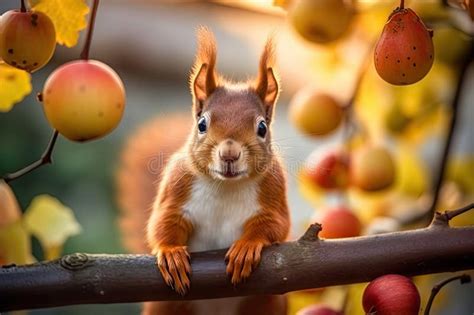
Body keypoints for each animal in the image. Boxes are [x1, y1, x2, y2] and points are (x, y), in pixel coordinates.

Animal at [116, 27, 290, 315]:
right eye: (201, 124)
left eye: (262, 127)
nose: (229, 155)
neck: (226, 186)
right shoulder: (176, 185)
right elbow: (162, 222)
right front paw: (172, 253)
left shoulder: (274, 189)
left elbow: (275, 225)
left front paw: (246, 247)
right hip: (165, 306)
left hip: (266, 303)